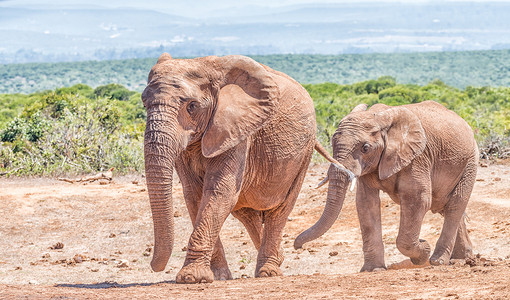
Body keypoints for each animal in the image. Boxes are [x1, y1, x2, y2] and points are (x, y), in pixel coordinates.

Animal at [141, 52, 328, 284]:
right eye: (144, 104)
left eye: (192, 106)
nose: (154, 266)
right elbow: (194, 195)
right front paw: (218, 277)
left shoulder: (237, 129)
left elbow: (219, 191)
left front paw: (191, 278)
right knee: (247, 214)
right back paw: (278, 258)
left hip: (304, 152)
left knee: (281, 208)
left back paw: (269, 271)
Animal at [294, 101, 478, 272]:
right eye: (332, 142)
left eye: (365, 148)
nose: (298, 246)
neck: (378, 118)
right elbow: (366, 204)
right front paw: (373, 270)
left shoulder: (417, 158)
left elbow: (418, 200)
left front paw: (423, 250)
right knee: (445, 207)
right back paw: (462, 258)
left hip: (470, 162)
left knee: (454, 206)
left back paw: (438, 261)